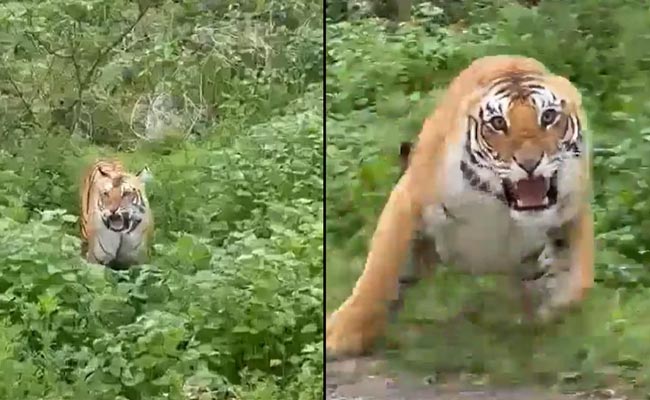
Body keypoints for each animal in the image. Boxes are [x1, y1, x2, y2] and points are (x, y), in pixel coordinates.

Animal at [326, 55, 594, 358]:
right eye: (498, 123)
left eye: (548, 117)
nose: (529, 162)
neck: (502, 211)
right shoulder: (409, 199)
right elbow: (380, 271)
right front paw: (342, 336)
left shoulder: (573, 210)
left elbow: (579, 284)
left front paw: (546, 314)